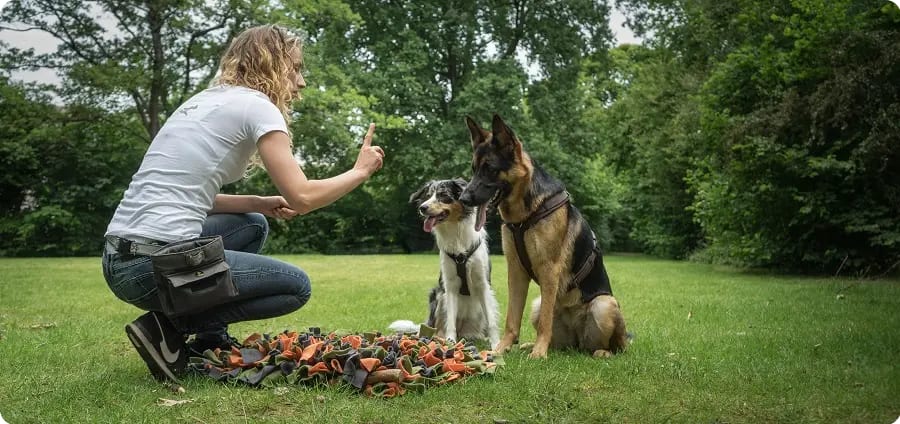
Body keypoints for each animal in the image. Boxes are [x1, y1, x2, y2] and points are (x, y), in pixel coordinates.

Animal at [458, 113, 624, 358]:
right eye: (474, 169)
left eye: (490, 169)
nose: (463, 199)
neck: (525, 216)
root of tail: (577, 340)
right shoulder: (516, 272)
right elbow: (512, 317)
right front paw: (501, 348)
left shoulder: (549, 270)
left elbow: (545, 321)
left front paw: (538, 353)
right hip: (537, 305)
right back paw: (531, 345)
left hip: (604, 304)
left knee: (613, 346)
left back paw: (602, 352)